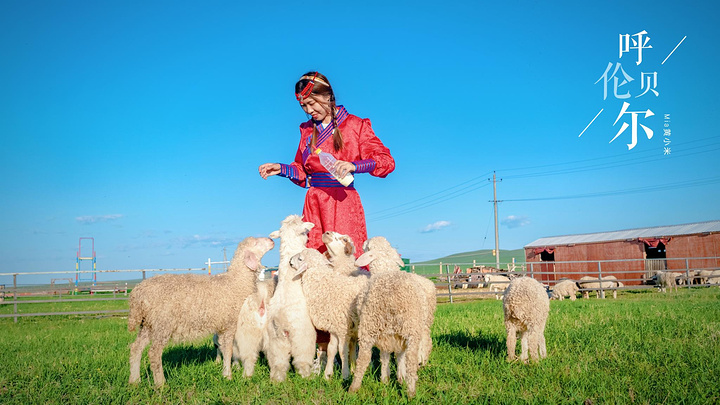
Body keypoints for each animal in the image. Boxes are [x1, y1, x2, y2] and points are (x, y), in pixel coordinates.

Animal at [126, 237, 272, 386]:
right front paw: (228, 375)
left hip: (148, 324)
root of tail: (138, 293)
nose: (271, 240)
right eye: (256, 243)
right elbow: (229, 350)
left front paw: (228, 371)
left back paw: (134, 381)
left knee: (136, 348)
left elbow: (224, 348)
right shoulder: (229, 324)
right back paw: (161, 383)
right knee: (154, 352)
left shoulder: (223, 326)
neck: (236, 282)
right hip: (162, 323)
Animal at [262, 213, 316, 380]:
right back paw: (308, 377)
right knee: (301, 362)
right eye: (304, 231)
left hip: (275, 342)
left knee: (278, 365)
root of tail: (282, 322)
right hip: (303, 340)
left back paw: (277, 380)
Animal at [286, 246, 368, 378]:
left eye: (300, 259)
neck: (325, 286)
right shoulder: (334, 327)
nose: (290, 261)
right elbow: (331, 349)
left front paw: (345, 375)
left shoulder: (342, 328)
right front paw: (327, 375)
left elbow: (342, 351)